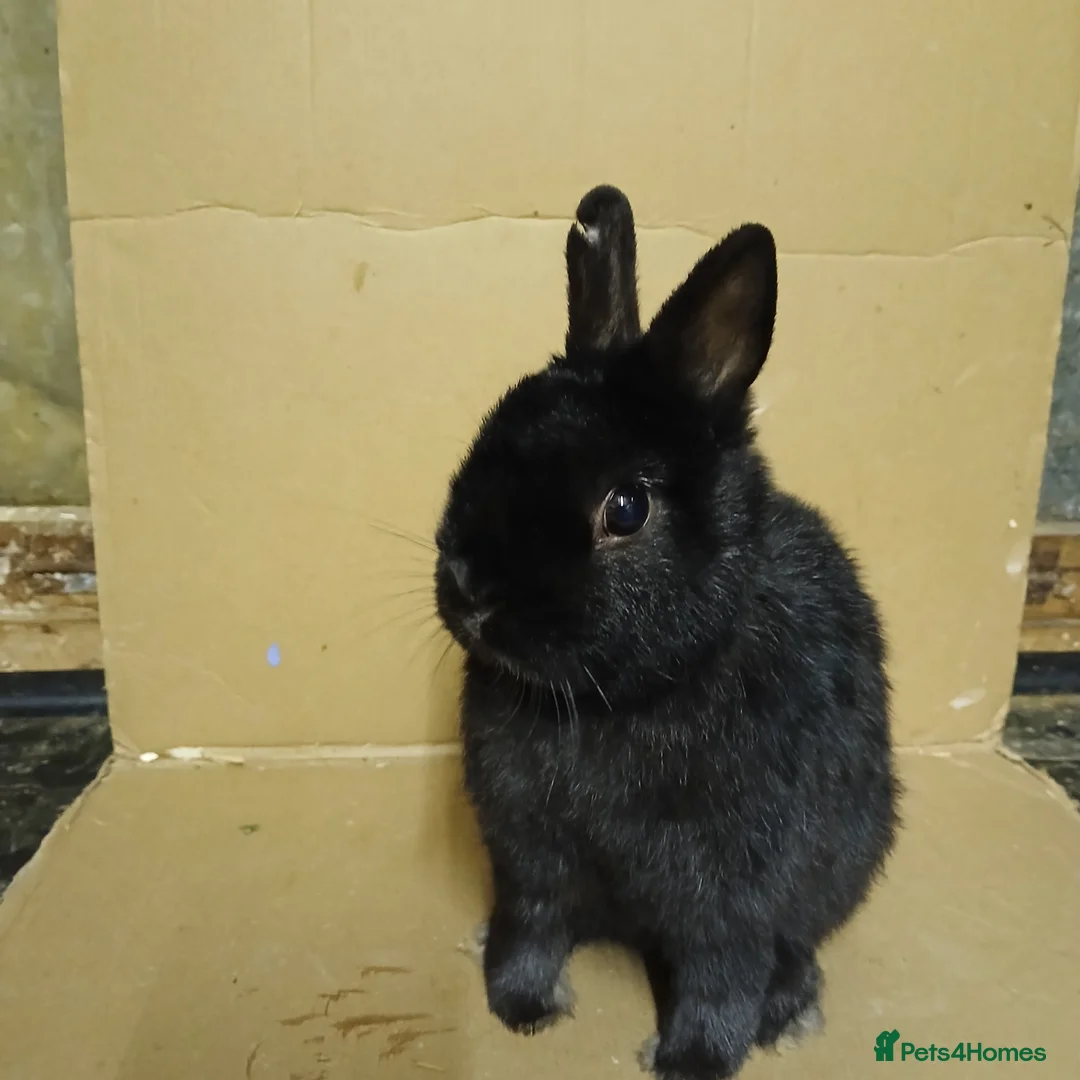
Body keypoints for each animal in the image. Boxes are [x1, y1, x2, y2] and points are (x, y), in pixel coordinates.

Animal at [433, 184, 899, 1080]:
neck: (611, 701)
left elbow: (723, 972)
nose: (473, 589)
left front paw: (693, 1061)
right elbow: (531, 923)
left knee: (790, 949)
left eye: (625, 509)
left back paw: (789, 1012)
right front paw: (520, 1008)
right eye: (491, 435)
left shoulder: (735, 891)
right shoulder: (527, 858)